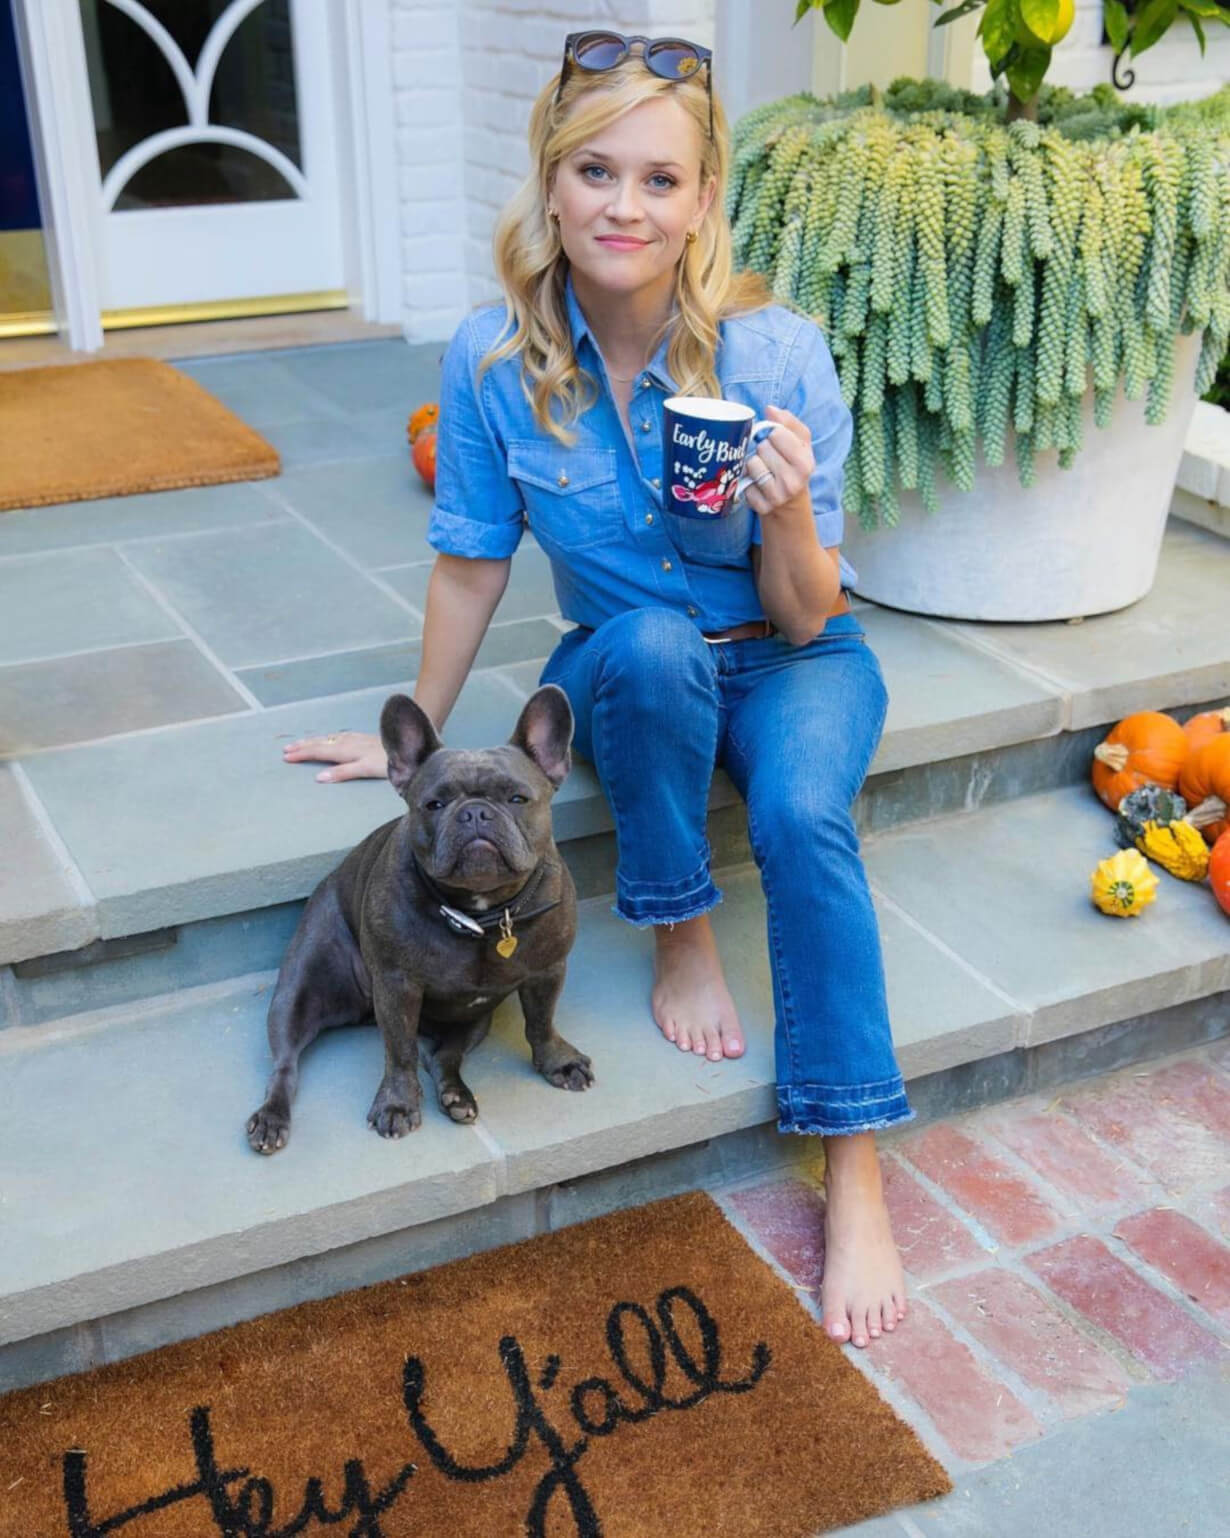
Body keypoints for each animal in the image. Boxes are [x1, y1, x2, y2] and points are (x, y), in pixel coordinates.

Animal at [244, 689, 590, 1156]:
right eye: (434, 804)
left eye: (517, 799)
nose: (475, 813)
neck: (480, 913)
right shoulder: (396, 986)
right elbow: (400, 1051)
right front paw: (398, 1104)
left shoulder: (548, 971)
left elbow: (541, 1022)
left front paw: (558, 1061)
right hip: (296, 991)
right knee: (286, 1064)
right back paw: (271, 1118)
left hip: (472, 1021)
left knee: (442, 1056)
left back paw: (456, 1095)